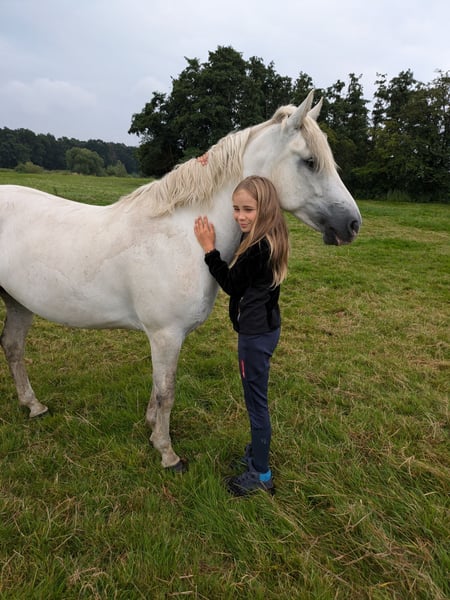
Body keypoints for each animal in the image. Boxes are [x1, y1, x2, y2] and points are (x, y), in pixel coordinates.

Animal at [0, 91, 361, 471]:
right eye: (310, 162)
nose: (352, 224)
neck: (183, 235)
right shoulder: (165, 335)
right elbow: (166, 392)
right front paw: (166, 452)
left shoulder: (166, 338)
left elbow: (158, 390)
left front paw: (150, 427)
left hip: (19, 303)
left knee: (12, 346)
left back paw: (34, 406)